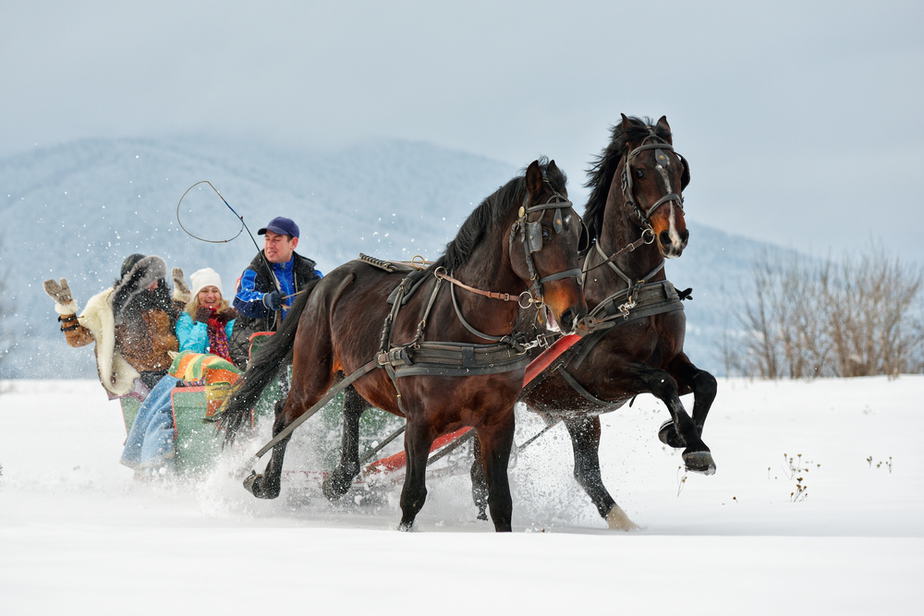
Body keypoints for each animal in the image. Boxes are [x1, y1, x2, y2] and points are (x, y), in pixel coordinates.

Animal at [220, 161, 588, 532]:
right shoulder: (420, 421)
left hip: (363, 372)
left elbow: (500, 502)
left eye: (578, 234)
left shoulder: (497, 421)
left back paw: (338, 478)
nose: (573, 313)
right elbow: (412, 496)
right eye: (544, 232)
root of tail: (325, 281)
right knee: (286, 414)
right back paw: (266, 482)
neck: (469, 332)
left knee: (351, 407)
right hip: (313, 371)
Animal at [516, 115, 720, 528]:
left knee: (584, 472)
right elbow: (663, 383)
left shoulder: (671, 357)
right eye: (639, 171)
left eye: (680, 171)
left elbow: (706, 382)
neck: (629, 286)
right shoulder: (603, 372)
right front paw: (688, 441)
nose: (674, 237)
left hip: (575, 414)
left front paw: (681, 436)